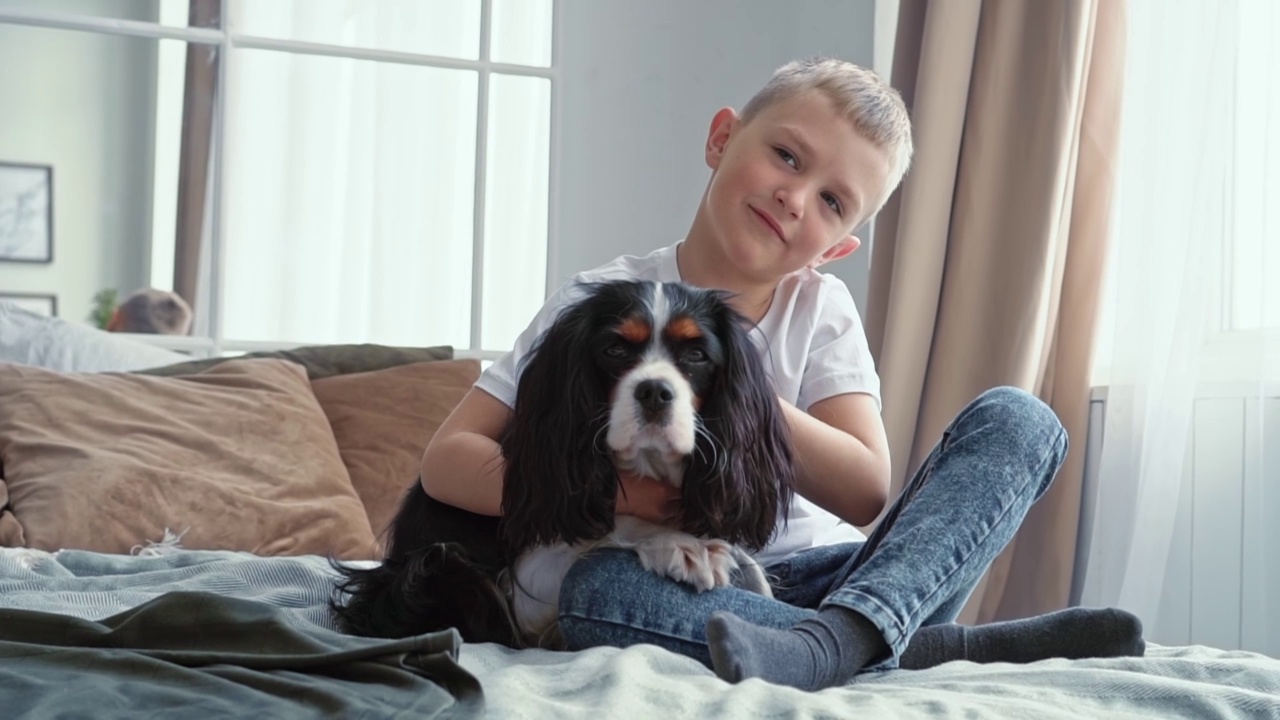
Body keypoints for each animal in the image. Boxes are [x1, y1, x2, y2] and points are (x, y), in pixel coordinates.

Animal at [325, 279, 793, 645]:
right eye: (614, 350)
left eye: (697, 356)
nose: (655, 392)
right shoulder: (528, 587)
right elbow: (616, 522)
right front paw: (680, 543)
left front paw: (739, 562)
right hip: (440, 567)